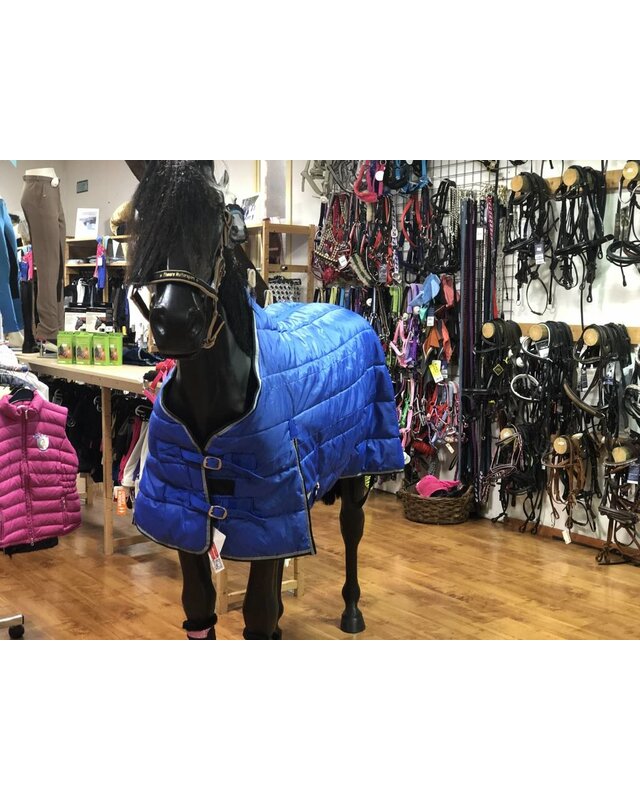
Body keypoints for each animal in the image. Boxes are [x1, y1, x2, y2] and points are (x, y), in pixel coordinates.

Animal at [126, 160, 404, 640]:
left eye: (218, 213)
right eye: (143, 215)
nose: (176, 322)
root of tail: (348, 309)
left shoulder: (273, 512)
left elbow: (257, 613)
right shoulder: (187, 518)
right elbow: (201, 608)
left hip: (358, 465)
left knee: (352, 531)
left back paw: (352, 612)